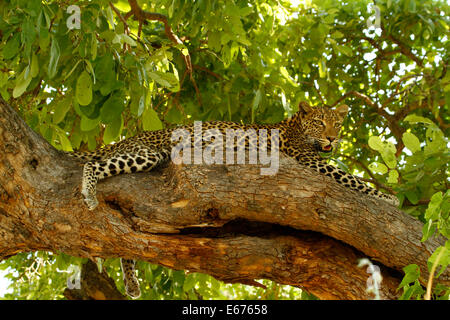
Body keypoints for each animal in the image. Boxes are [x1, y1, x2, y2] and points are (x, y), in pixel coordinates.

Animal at [66, 102, 398, 298]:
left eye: (336, 124)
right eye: (318, 123)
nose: (331, 138)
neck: (295, 127)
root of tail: (129, 137)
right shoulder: (310, 162)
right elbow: (351, 178)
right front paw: (389, 198)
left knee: (127, 236)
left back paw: (132, 283)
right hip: (146, 154)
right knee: (93, 165)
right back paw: (88, 192)